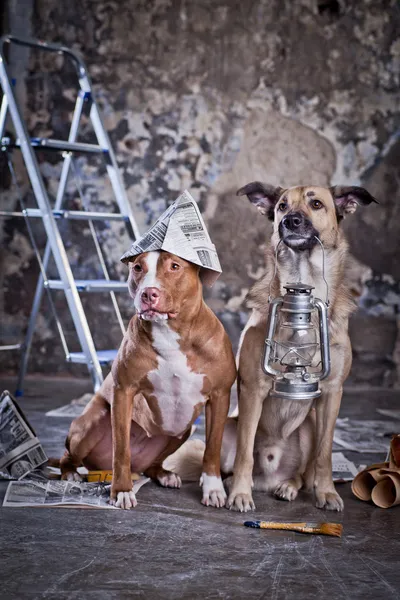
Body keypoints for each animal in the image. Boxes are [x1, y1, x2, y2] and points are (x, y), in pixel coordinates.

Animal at [59, 251, 234, 508]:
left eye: (175, 266)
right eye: (138, 268)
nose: (148, 293)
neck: (171, 333)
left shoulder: (220, 396)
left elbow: (212, 447)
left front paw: (213, 489)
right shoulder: (123, 391)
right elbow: (121, 450)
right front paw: (122, 491)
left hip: (183, 430)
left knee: (153, 464)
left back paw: (164, 474)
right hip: (93, 420)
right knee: (69, 455)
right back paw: (70, 473)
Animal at [223, 182, 376, 510]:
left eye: (316, 204)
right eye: (282, 205)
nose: (289, 221)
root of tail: (269, 476)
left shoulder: (332, 393)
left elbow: (325, 454)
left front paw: (327, 493)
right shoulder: (252, 389)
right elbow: (244, 452)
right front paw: (240, 494)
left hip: (308, 426)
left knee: (302, 473)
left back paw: (289, 487)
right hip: (229, 425)